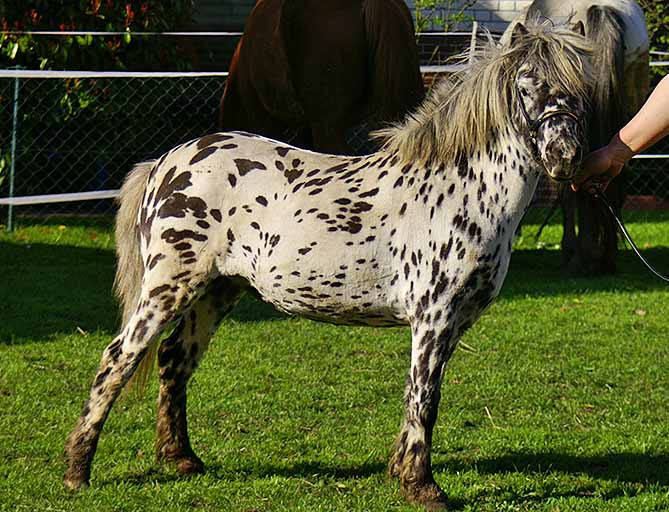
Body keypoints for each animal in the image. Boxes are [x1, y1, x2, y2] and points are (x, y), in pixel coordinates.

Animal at [65, 21, 592, 508]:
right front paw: (422, 487)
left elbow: (418, 396)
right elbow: (425, 397)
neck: (461, 190)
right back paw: (77, 471)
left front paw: (400, 472)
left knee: (175, 360)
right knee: (117, 359)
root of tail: (166, 163)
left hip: (217, 291)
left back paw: (182, 459)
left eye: (580, 89)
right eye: (525, 85)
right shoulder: (434, 317)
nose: (564, 156)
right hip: (168, 287)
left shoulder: (454, 322)